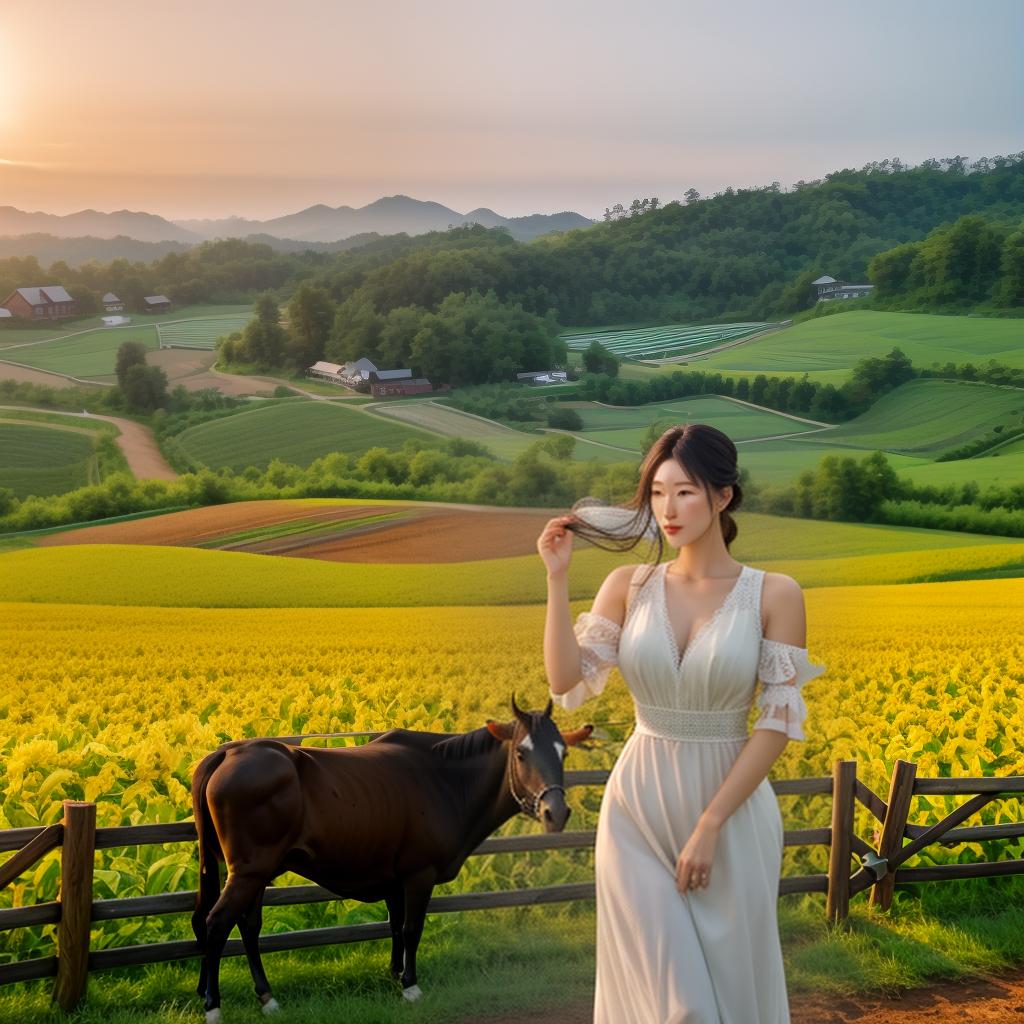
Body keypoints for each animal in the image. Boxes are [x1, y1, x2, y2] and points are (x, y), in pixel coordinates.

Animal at [192, 700, 593, 1019]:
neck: (447, 778)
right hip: (249, 870)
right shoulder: (419, 873)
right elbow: (412, 928)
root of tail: (227, 753)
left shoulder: (393, 877)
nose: (555, 811)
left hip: (255, 871)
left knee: (245, 925)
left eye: (563, 753)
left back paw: (264, 996)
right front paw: (410, 986)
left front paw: (395, 973)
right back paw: (213, 1005)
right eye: (521, 753)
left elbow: (395, 925)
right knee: (216, 923)